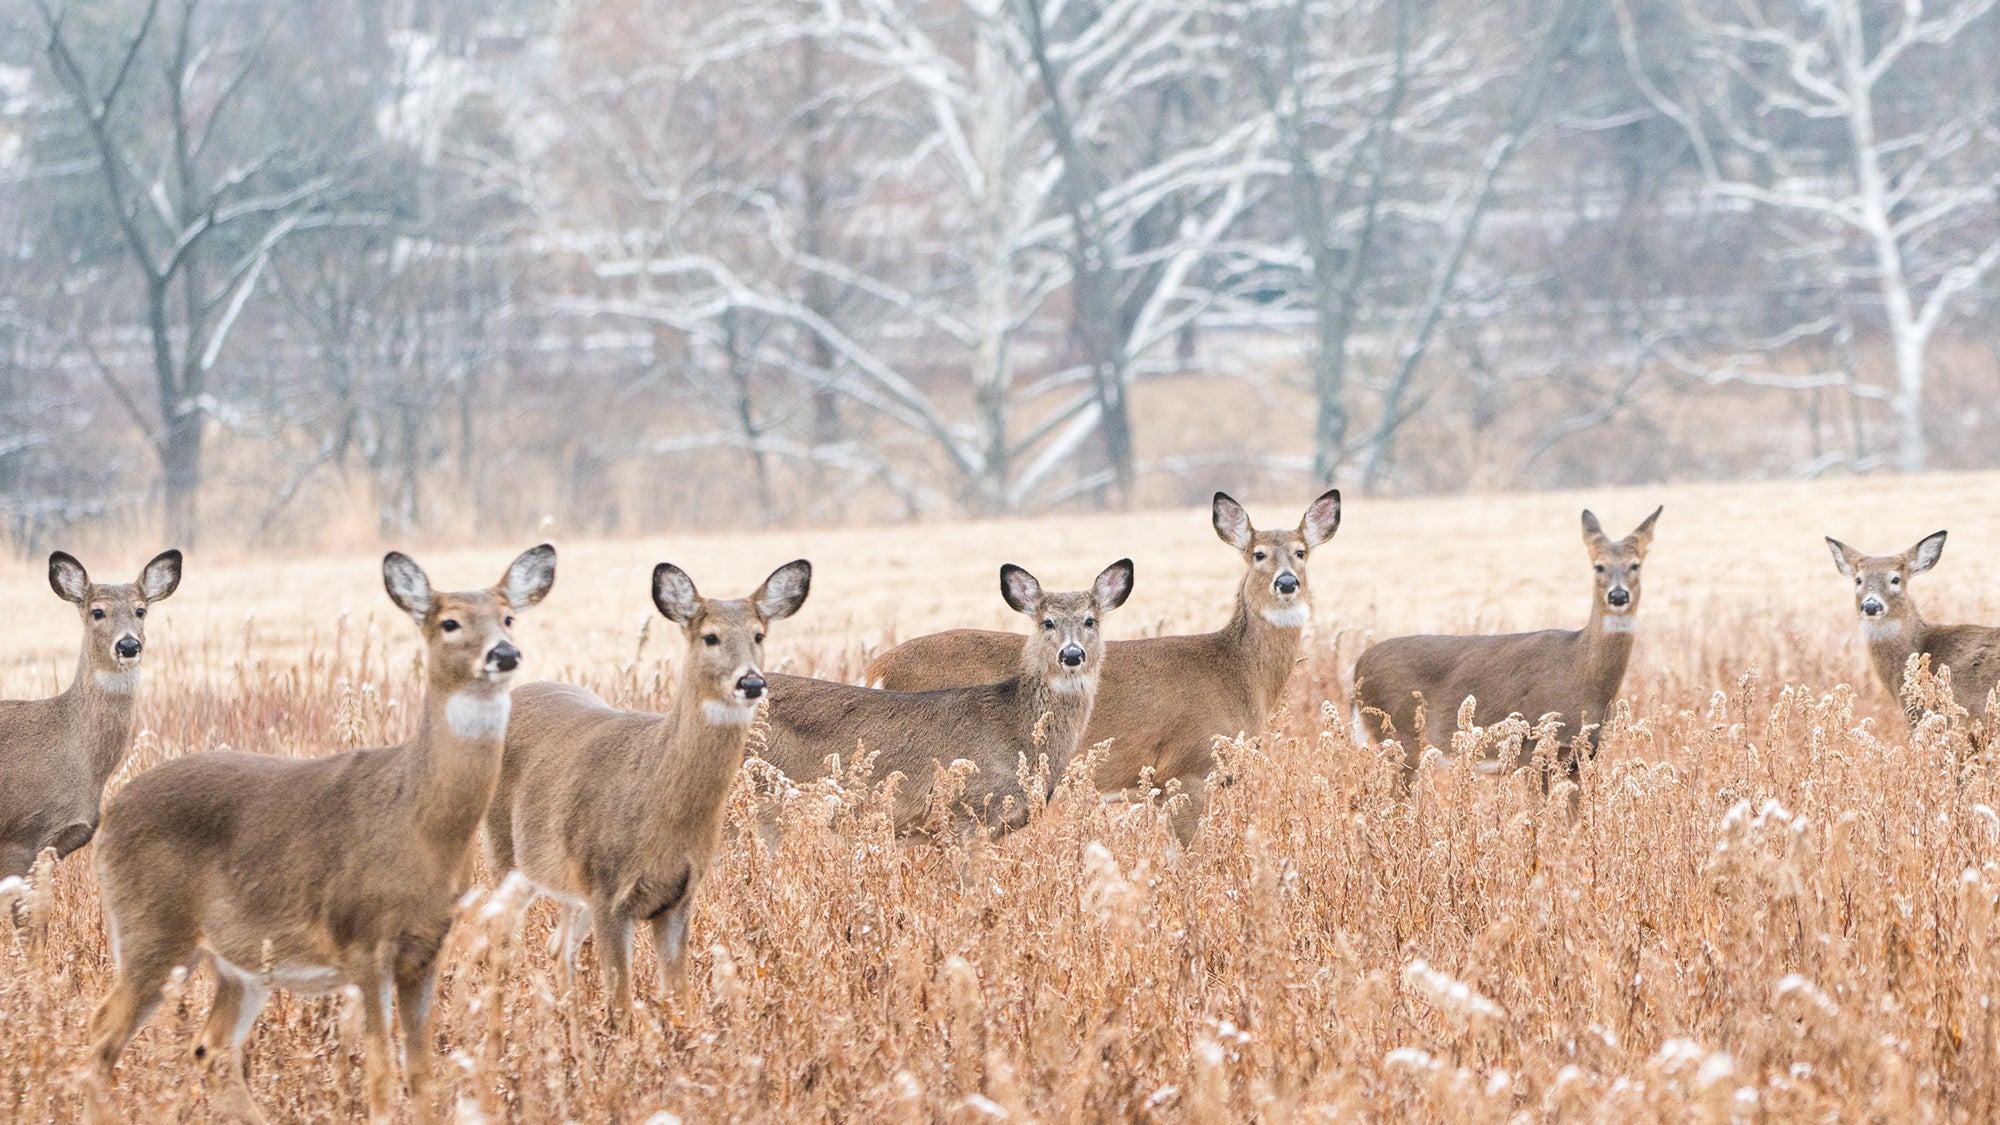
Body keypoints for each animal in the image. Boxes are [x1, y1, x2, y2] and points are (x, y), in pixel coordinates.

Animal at [82, 545, 556, 1125]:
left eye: (509, 617)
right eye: (449, 622)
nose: (505, 653)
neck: (418, 824)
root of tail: (111, 812)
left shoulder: (426, 948)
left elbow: (422, 1074)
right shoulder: (363, 940)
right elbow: (381, 1074)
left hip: (239, 963)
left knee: (209, 1048)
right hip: (151, 930)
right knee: (101, 1037)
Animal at [486, 559, 811, 1027]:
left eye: (759, 635)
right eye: (710, 636)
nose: (751, 682)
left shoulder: (679, 897)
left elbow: (679, 997)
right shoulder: (608, 892)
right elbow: (620, 1003)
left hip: (566, 880)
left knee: (557, 945)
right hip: (506, 855)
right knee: (498, 937)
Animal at [864, 490, 1339, 843]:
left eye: (1301, 552)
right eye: (1258, 554)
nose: (1286, 583)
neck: (1237, 672)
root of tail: (877, 667)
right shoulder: (1187, 768)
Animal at [1353, 506, 1662, 782]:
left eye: (1635, 565)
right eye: (1599, 566)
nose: (1618, 596)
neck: (1581, 674)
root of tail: (1356, 670)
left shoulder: (1580, 757)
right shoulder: (1531, 751)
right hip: (1399, 737)